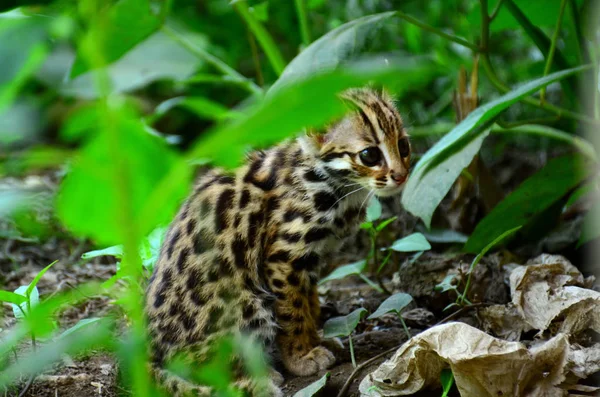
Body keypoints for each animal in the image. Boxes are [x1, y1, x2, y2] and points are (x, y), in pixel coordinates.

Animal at [144, 86, 412, 392]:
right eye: (369, 155)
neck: (334, 184)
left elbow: (309, 303)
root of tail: (148, 351)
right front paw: (300, 357)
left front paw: (316, 341)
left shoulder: (310, 259)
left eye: (403, 146)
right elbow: (292, 311)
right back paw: (257, 377)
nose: (401, 176)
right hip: (246, 304)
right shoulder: (285, 256)